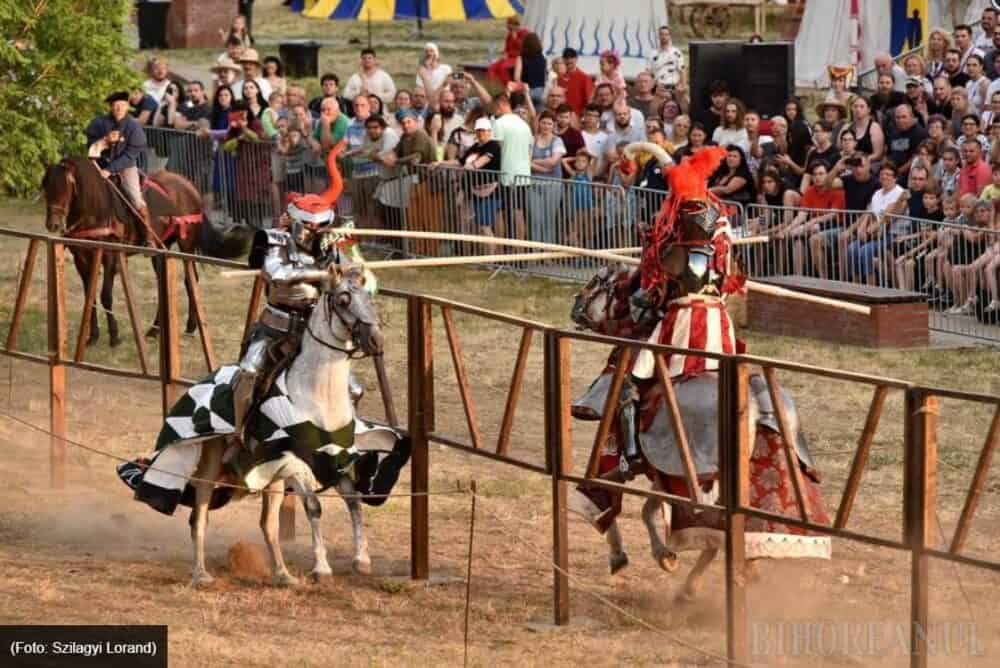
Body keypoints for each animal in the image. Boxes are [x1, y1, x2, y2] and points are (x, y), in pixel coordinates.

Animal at [43, 157, 250, 344]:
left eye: (66, 186)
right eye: (46, 187)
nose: (53, 224)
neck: (94, 211)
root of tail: (190, 187)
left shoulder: (110, 256)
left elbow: (106, 296)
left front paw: (114, 336)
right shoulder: (82, 258)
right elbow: (90, 296)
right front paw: (93, 336)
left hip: (186, 245)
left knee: (190, 280)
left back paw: (190, 327)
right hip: (162, 248)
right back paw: (155, 330)